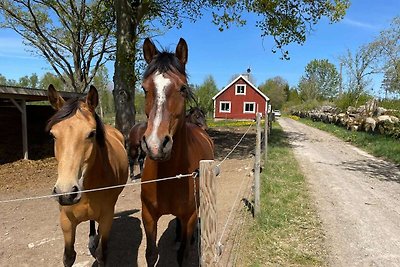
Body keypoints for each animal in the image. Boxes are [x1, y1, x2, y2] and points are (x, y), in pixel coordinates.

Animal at [46, 85, 128, 266]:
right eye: (53, 135)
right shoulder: (66, 222)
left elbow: (101, 255)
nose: (66, 193)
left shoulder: (106, 217)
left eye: (91, 134)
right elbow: (69, 257)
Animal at [141, 38, 216, 267]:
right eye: (144, 88)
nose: (156, 144)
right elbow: (150, 253)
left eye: (183, 88)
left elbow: (183, 254)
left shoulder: (189, 216)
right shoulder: (148, 216)